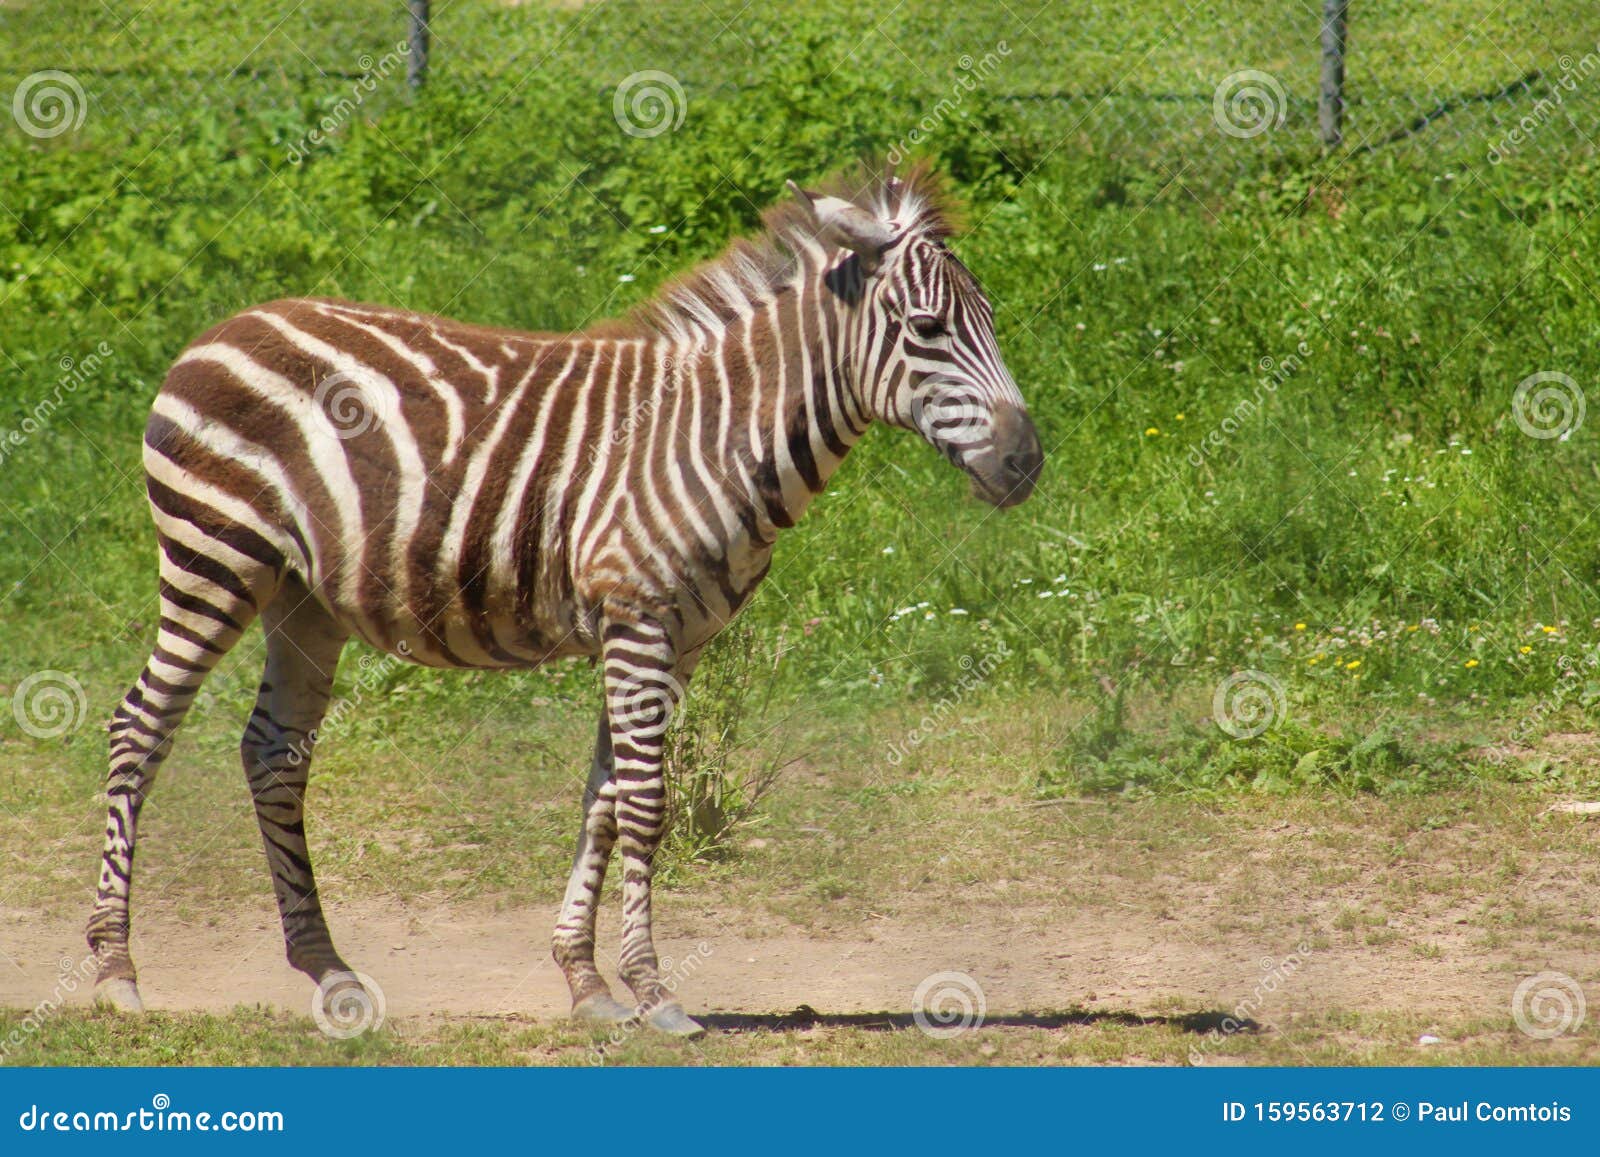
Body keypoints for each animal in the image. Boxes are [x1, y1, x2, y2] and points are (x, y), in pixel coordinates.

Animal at [87, 164, 1043, 1043]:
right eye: (927, 330)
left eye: (995, 321)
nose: (1026, 461)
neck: (719, 433)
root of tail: (224, 325)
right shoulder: (640, 620)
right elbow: (648, 806)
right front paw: (655, 991)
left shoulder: (675, 638)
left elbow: (605, 800)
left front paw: (586, 981)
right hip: (214, 558)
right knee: (141, 727)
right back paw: (113, 971)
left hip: (303, 601)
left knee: (275, 753)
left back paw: (329, 971)